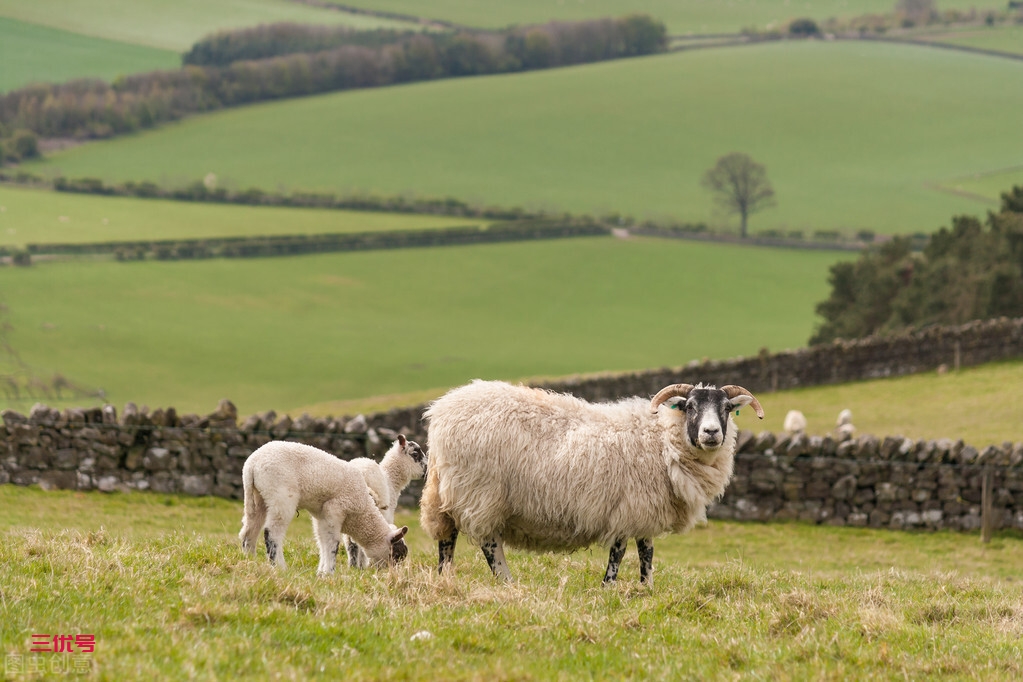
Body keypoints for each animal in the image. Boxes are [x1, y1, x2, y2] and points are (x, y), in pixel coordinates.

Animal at [239, 439, 407, 572]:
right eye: (396, 555)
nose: (392, 575)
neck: (362, 511)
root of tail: (251, 464)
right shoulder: (335, 509)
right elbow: (332, 542)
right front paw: (329, 572)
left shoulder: (321, 515)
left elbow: (322, 541)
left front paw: (321, 571)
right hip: (281, 496)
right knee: (272, 533)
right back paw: (279, 567)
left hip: (258, 497)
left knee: (249, 531)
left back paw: (250, 561)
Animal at [419, 378, 765, 588]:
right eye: (690, 407)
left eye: (726, 409)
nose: (711, 433)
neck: (662, 439)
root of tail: (441, 411)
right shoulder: (628, 507)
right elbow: (621, 552)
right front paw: (609, 587)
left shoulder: (643, 509)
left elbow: (647, 552)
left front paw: (647, 589)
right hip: (480, 491)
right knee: (489, 544)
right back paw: (507, 581)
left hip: (449, 490)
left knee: (447, 537)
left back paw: (445, 578)